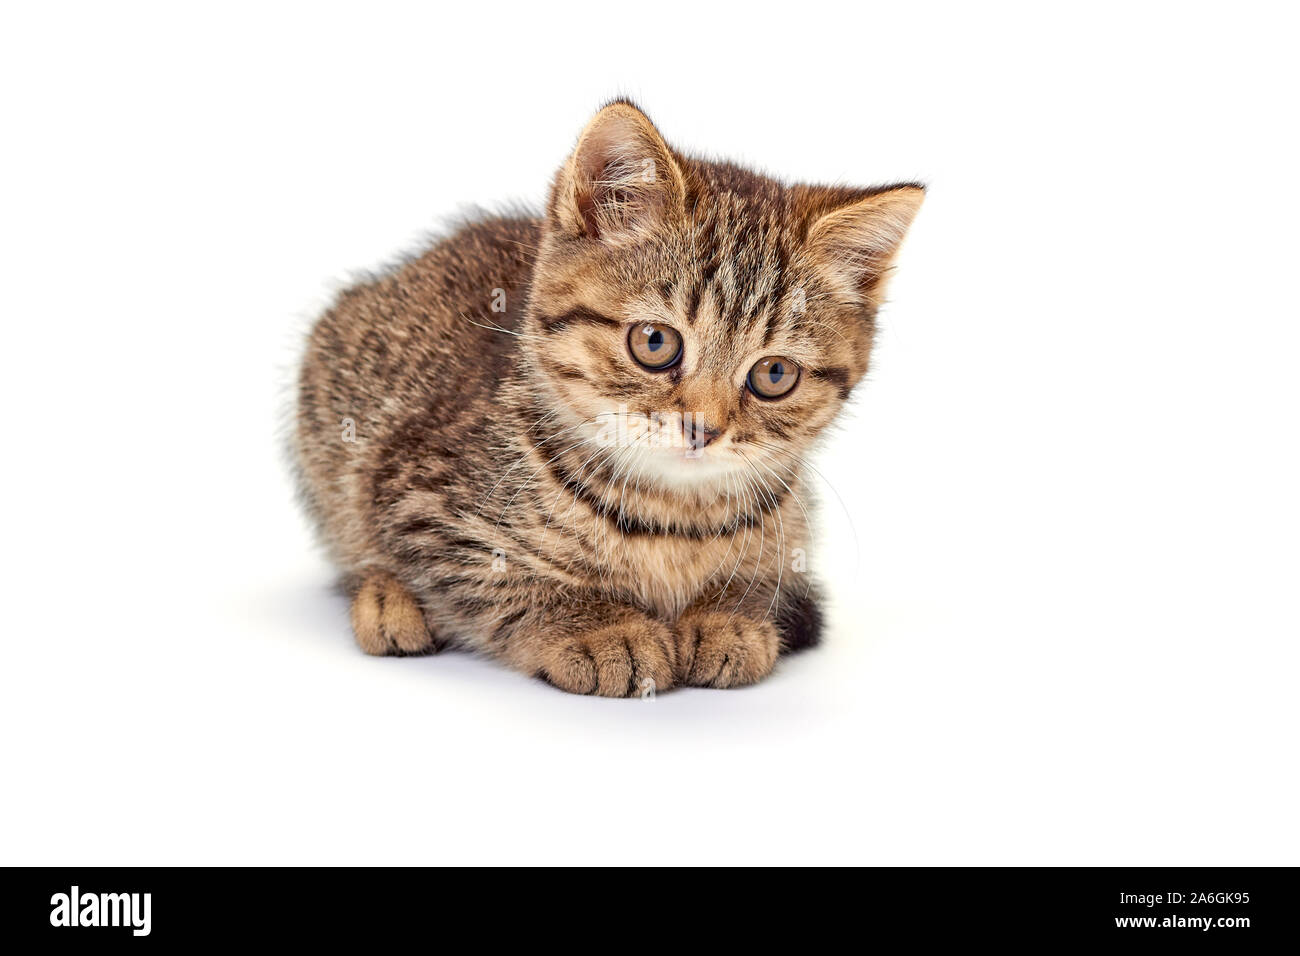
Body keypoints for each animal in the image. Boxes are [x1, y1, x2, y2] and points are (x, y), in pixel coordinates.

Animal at [295, 98, 925, 697]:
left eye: (774, 374)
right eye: (654, 342)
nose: (703, 427)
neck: (673, 516)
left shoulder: (791, 524)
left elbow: (761, 578)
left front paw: (731, 616)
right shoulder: (416, 498)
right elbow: (498, 581)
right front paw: (600, 627)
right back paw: (387, 601)